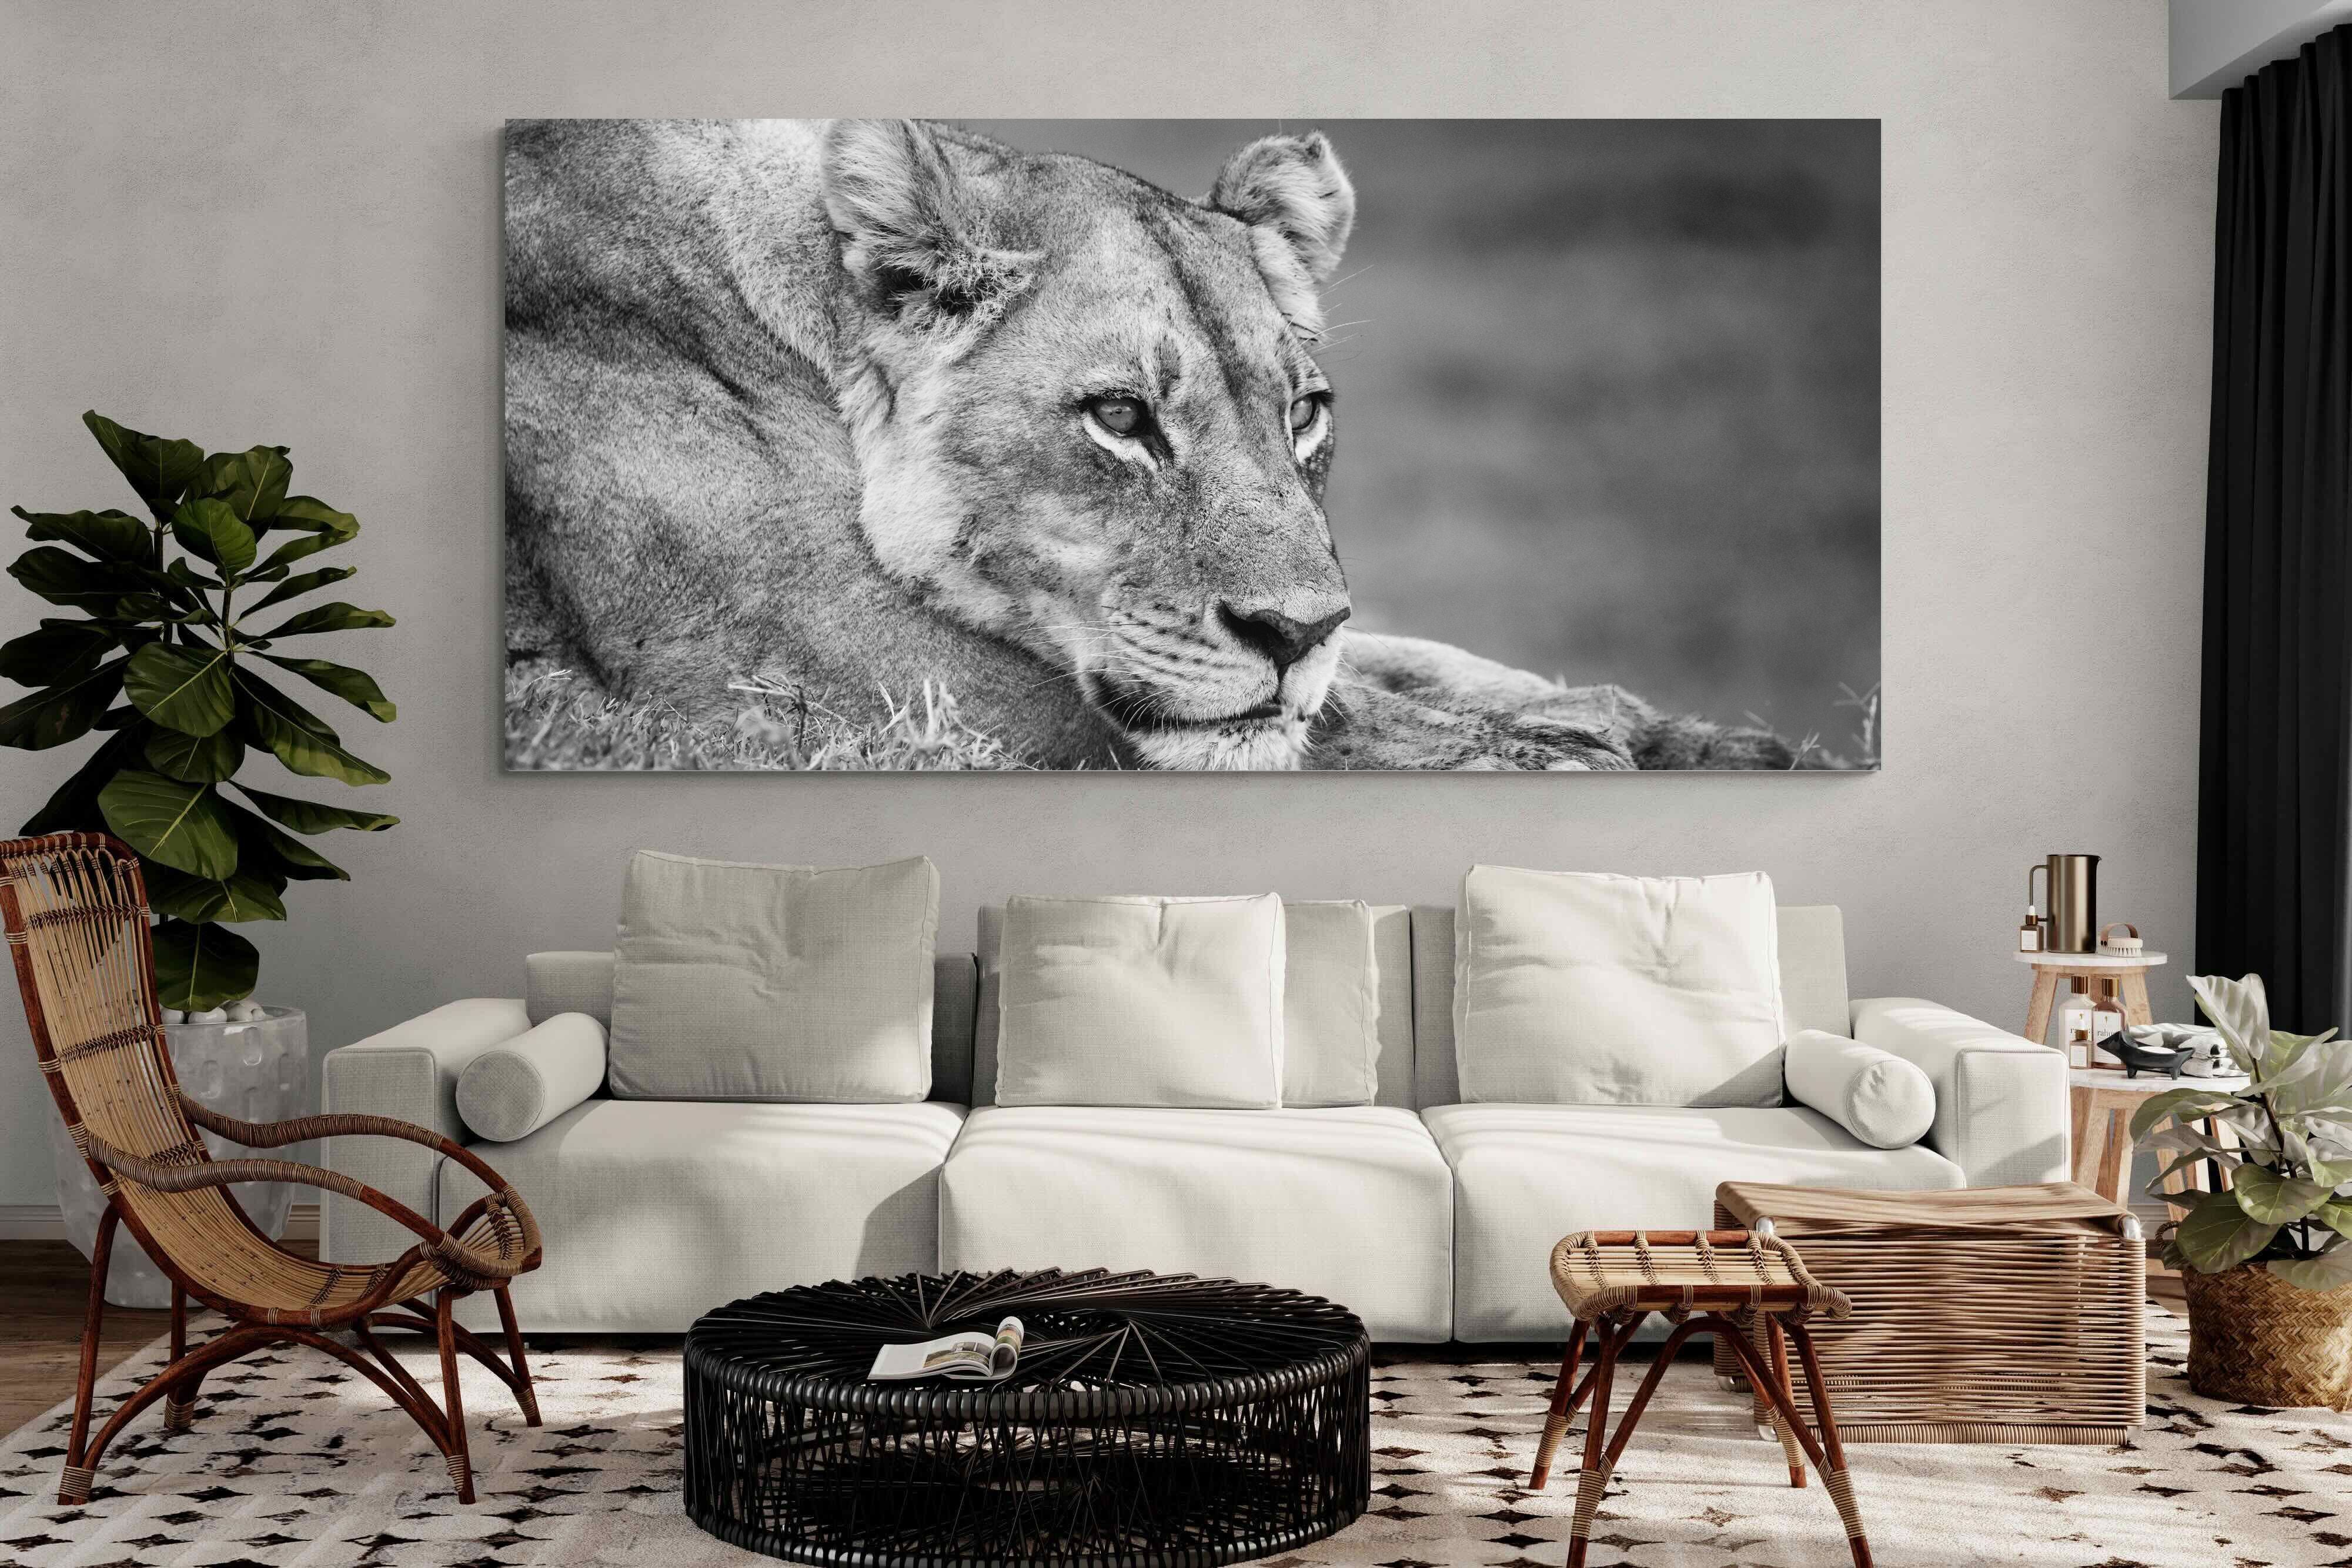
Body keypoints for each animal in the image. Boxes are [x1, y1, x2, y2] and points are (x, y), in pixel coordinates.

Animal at [503, 118, 1799, 771]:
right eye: (1120, 418)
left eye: (1302, 413)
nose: (1290, 634)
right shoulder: (827, 678)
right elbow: (1340, 721)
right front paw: (1560, 751)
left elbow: (1391, 660)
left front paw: (1679, 731)